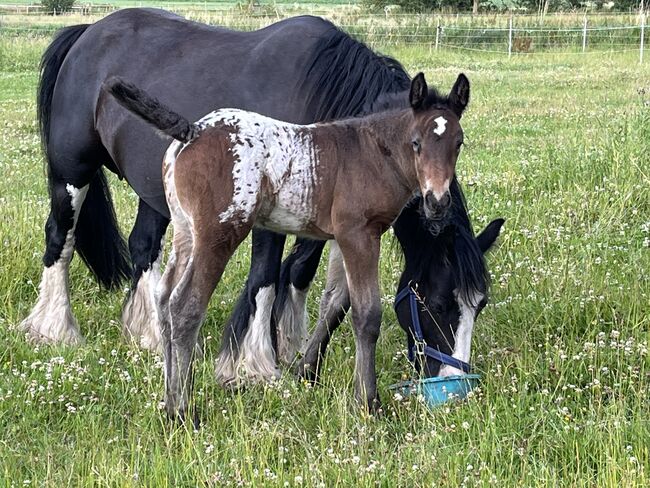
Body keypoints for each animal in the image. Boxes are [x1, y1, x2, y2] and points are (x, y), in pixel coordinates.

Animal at [20, 6, 496, 382]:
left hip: (158, 195)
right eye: (438, 301)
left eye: (479, 305)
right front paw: (252, 364)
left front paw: (296, 352)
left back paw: (151, 336)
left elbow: (311, 279)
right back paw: (54, 329)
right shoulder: (274, 216)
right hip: (72, 173)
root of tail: (87, 32)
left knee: (144, 249)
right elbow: (267, 274)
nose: (453, 382)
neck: (322, 96)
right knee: (59, 239)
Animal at [107, 71, 470, 420]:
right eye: (416, 143)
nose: (437, 202)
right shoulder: (360, 234)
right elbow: (367, 315)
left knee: (164, 297)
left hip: (185, 231)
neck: (374, 152)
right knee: (185, 307)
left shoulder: (343, 237)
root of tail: (192, 130)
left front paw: (309, 373)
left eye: (459, 143)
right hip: (218, 234)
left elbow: (336, 302)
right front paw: (369, 404)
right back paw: (182, 412)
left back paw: (169, 403)